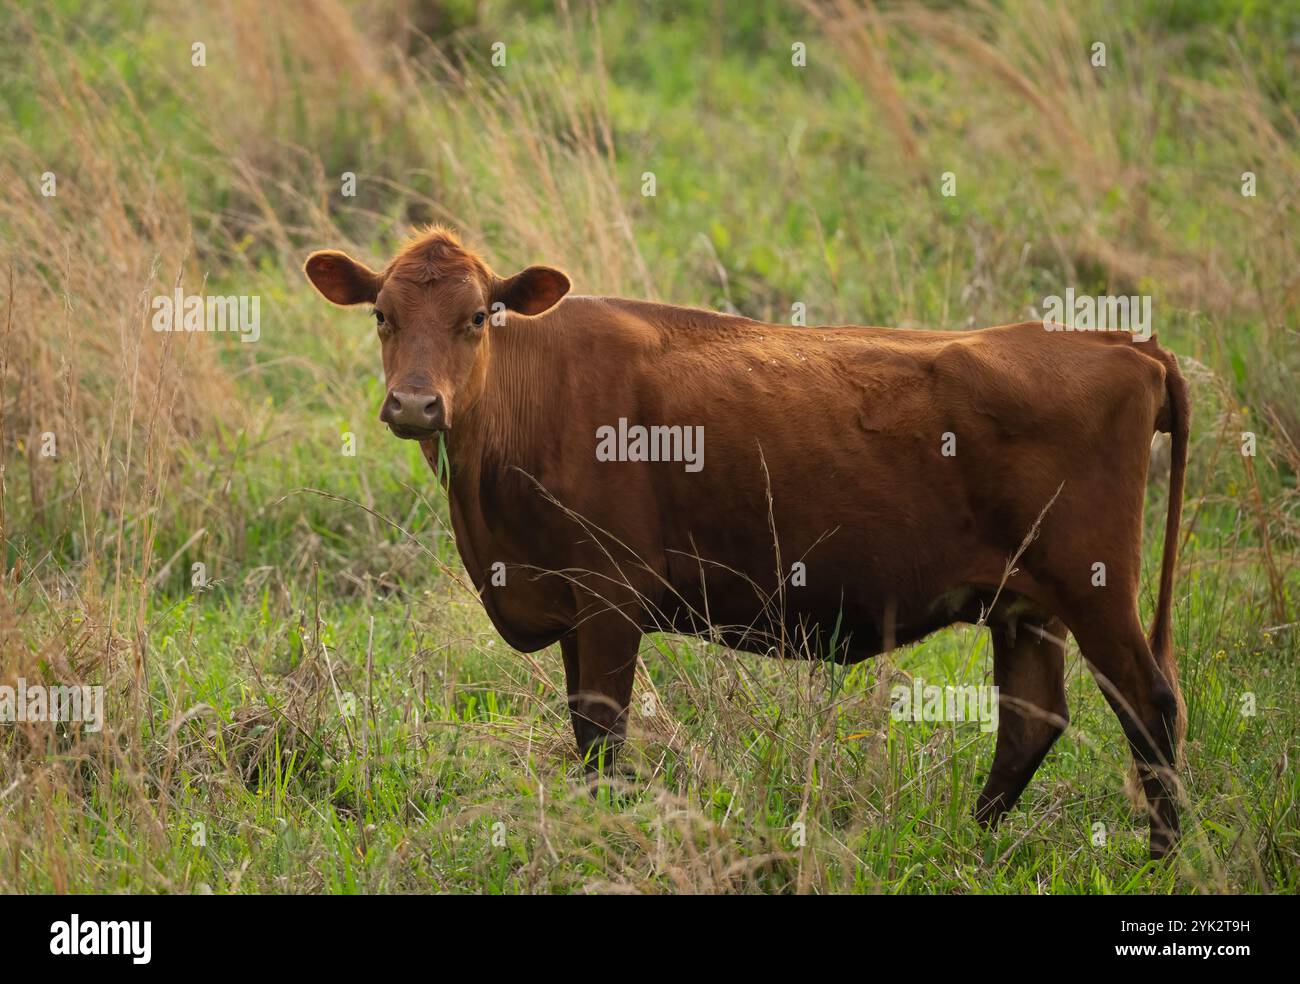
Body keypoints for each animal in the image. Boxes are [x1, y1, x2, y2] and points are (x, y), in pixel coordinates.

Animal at [304, 226, 1190, 857]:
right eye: (382, 316)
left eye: (477, 318)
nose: (414, 405)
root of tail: (1121, 344)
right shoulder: (570, 600)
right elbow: (586, 734)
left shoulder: (610, 594)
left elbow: (603, 734)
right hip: (1024, 605)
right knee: (1032, 721)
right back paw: (970, 846)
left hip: (1094, 587)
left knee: (1148, 705)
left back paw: (1158, 858)